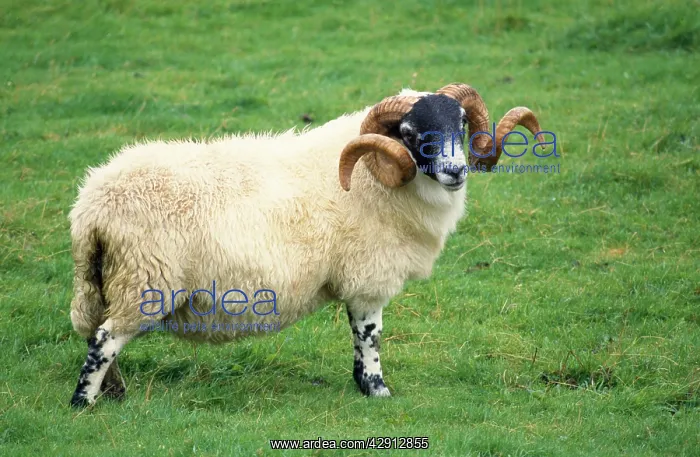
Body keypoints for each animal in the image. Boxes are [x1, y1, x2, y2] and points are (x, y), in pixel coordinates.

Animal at [68, 82, 545, 407]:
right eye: (409, 132)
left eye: (461, 124)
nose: (456, 172)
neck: (370, 174)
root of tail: (92, 205)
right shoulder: (368, 275)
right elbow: (369, 336)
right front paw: (377, 391)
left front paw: (362, 385)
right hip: (146, 279)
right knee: (104, 340)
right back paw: (83, 403)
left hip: (106, 280)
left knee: (98, 332)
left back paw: (115, 392)